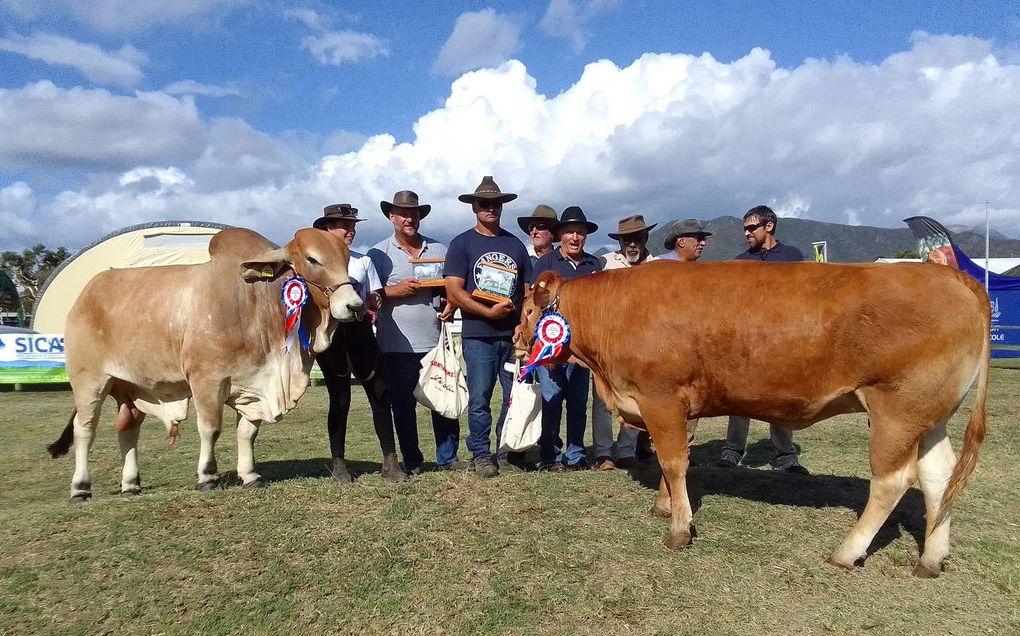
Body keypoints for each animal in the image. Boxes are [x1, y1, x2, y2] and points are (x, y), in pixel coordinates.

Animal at [48, 228, 367, 501]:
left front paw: (250, 476)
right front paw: (207, 477)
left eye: (346, 258)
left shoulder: (253, 384)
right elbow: (210, 429)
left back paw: (130, 484)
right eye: (312, 259)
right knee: (84, 430)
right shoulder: (206, 379)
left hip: (130, 387)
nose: (355, 306)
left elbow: (247, 432)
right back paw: (80, 488)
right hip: (88, 381)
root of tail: (86, 294)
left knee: (127, 429)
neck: (254, 302)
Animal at [518, 258, 987, 574]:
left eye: (527, 311)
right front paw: (665, 506)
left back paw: (847, 551)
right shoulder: (680, 408)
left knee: (893, 481)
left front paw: (679, 529)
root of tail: (951, 276)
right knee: (939, 478)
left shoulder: (661, 399)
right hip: (929, 417)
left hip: (896, 410)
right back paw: (931, 558)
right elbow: (675, 463)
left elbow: (673, 460)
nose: (520, 340)